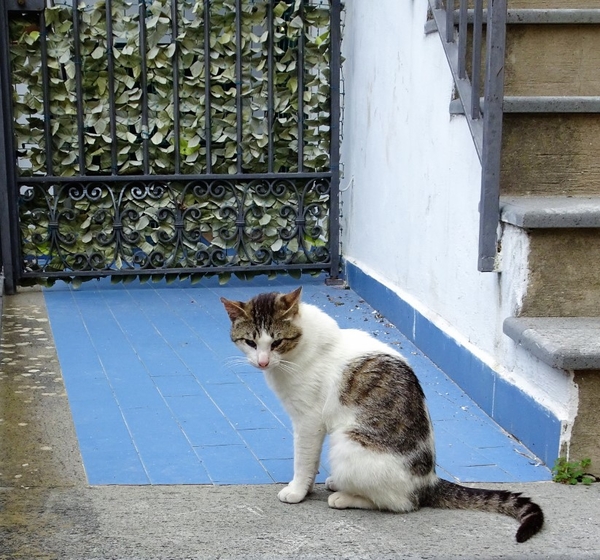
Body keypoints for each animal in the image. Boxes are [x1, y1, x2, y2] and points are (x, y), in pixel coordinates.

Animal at [220, 286, 544, 540]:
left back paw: (344, 497)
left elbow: (304, 460)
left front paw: (297, 490)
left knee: (400, 503)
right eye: (251, 342)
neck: (300, 349)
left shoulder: (309, 421)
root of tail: (428, 480)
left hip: (346, 443)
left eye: (276, 342)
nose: (262, 362)